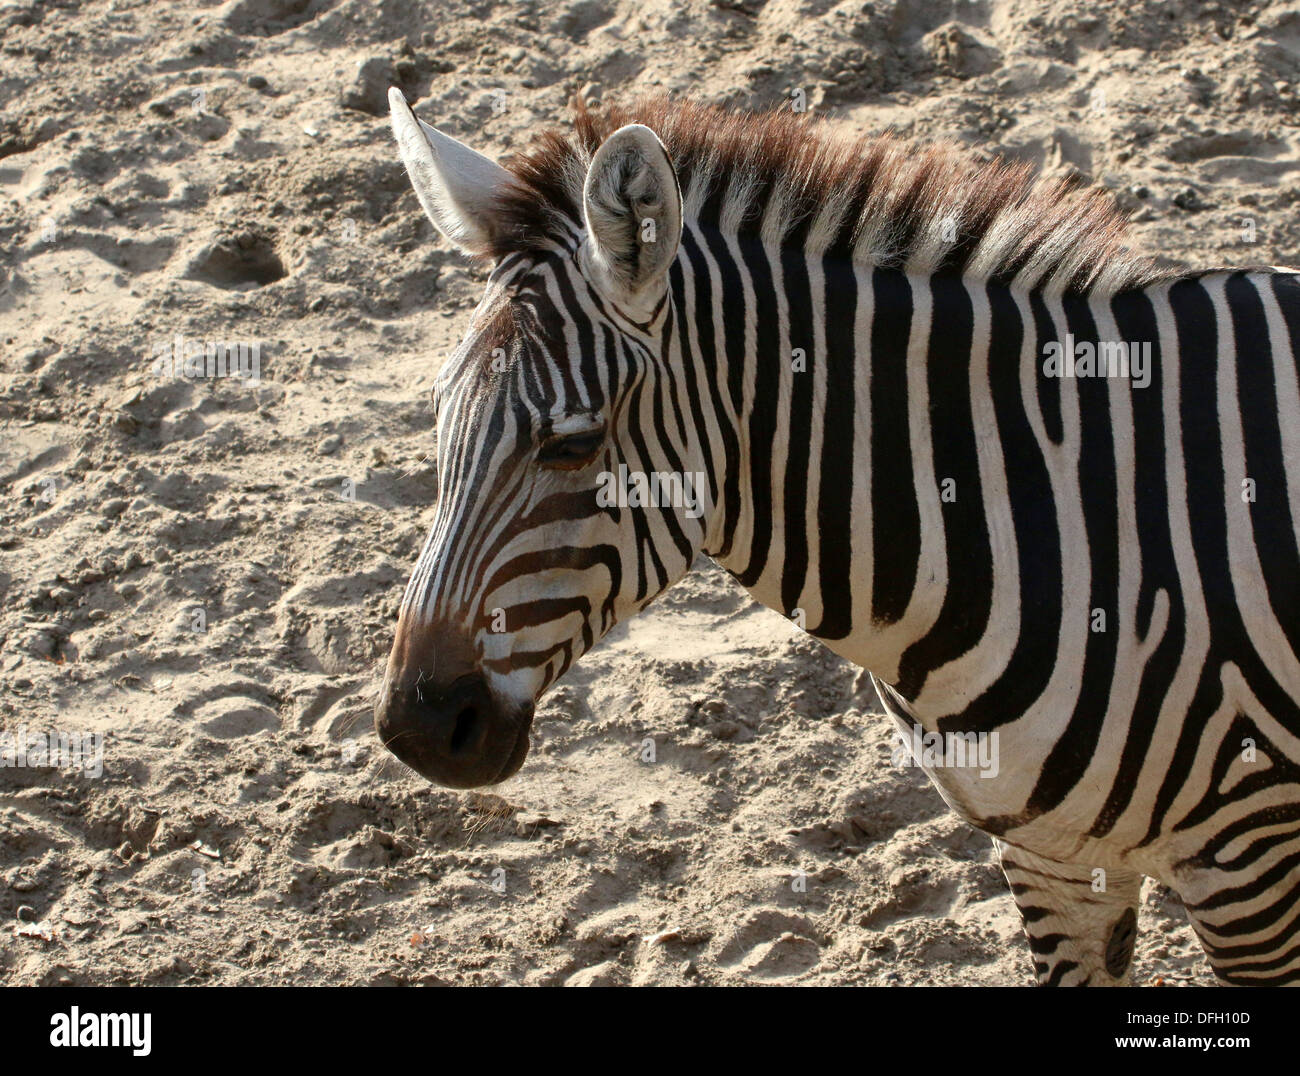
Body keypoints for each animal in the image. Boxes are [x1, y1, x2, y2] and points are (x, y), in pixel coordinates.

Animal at [375, 87, 1300, 986]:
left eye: (572, 443)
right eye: (437, 417)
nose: (416, 730)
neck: (1061, 517)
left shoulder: (1253, 870)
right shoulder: (1054, 862)